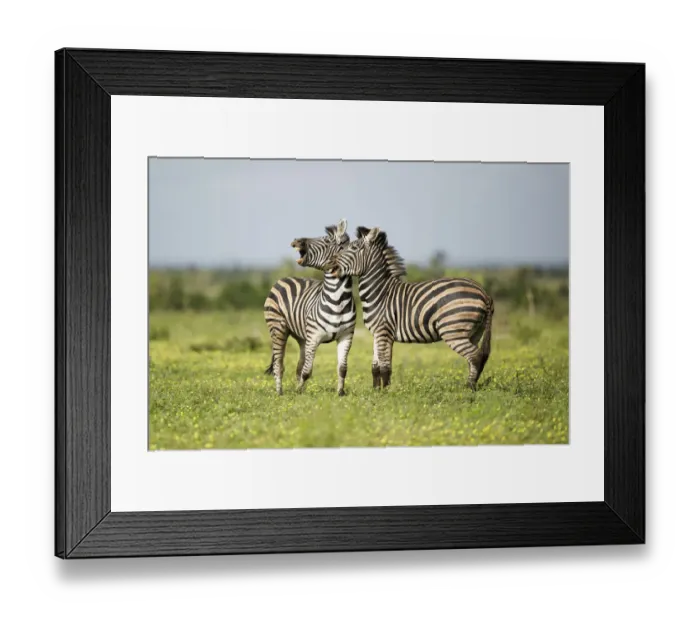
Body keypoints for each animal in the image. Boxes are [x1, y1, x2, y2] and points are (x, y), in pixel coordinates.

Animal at [263, 219, 356, 396]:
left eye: (326, 240)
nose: (296, 240)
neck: (337, 300)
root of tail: (283, 278)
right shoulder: (314, 337)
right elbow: (307, 371)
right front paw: (299, 392)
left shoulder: (346, 336)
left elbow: (342, 368)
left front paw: (340, 393)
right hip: (278, 328)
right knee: (279, 365)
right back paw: (280, 393)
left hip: (302, 337)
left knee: (298, 366)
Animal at [329, 226, 494, 391]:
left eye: (353, 248)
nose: (331, 264)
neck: (380, 292)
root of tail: (483, 292)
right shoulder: (378, 333)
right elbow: (376, 367)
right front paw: (377, 390)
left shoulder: (384, 331)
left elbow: (384, 367)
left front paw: (386, 392)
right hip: (474, 332)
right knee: (476, 358)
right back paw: (472, 385)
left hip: (453, 330)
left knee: (475, 356)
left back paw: (469, 388)